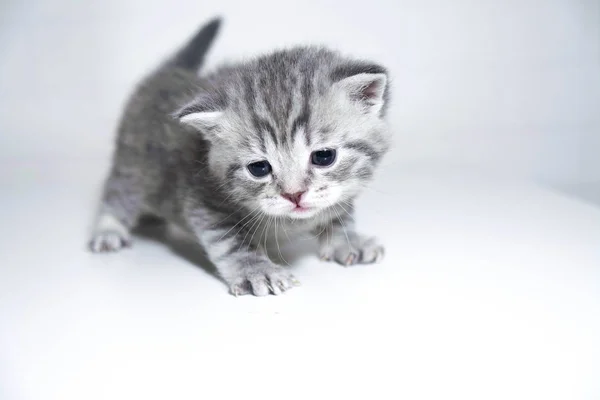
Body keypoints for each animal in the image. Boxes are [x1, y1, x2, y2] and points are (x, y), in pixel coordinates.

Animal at [88, 17, 390, 296]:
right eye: (259, 168)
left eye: (324, 156)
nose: (294, 195)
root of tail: (169, 72)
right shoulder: (202, 200)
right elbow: (230, 241)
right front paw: (257, 269)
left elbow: (340, 214)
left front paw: (348, 240)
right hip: (133, 164)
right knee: (119, 193)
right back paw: (109, 229)